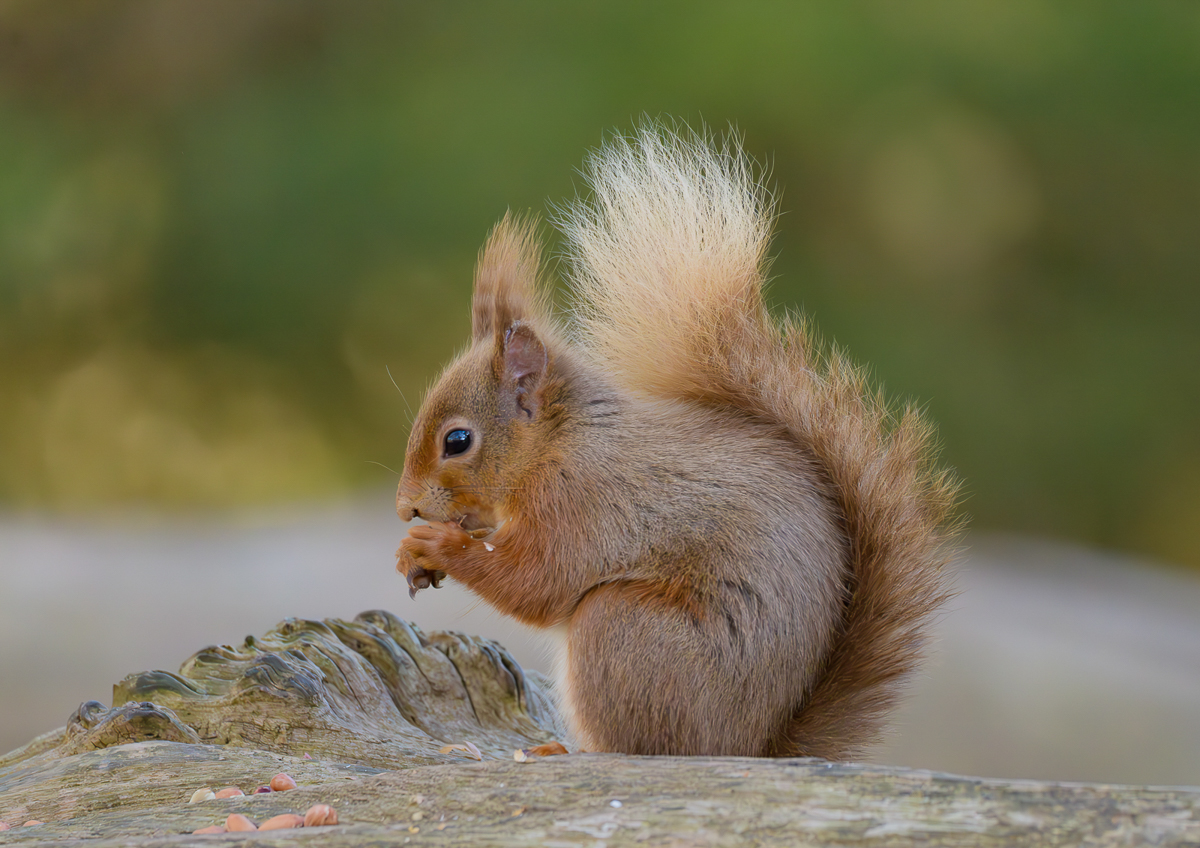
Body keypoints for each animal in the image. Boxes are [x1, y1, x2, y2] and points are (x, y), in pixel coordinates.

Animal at [395, 124, 958, 759]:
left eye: (458, 440)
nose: (405, 507)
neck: (561, 442)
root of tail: (747, 747)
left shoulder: (584, 500)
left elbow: (538, 580)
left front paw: (435, 546)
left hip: (624, 632)